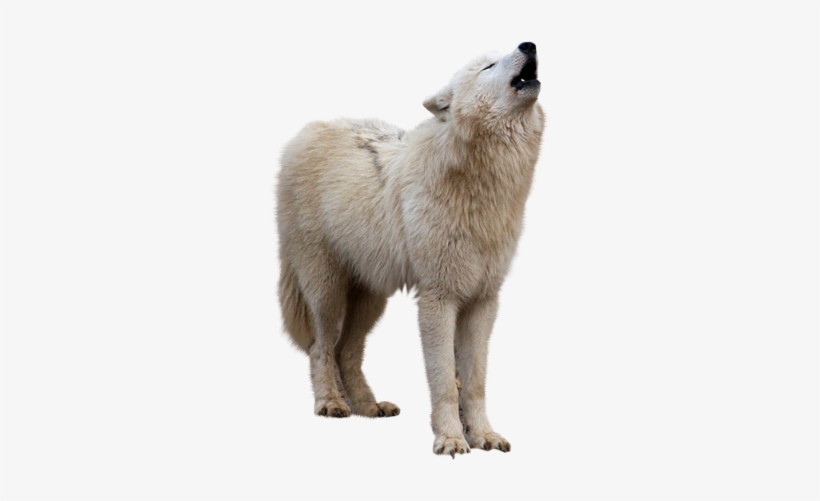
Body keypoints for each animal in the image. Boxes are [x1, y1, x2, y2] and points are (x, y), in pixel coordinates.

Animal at [276, 42, 545, 457]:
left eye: (504, 54)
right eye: (488, 66)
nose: (528, 44)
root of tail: (306, 132)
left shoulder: (483, 300)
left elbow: (475, 380)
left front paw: (484, 435)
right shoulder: (439, 297)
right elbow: (444, 380)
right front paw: (450, 439)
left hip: (371, 298)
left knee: (346, 351)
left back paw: (369, 406)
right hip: (326, 291)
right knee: (321, 348)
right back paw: (331, 403)